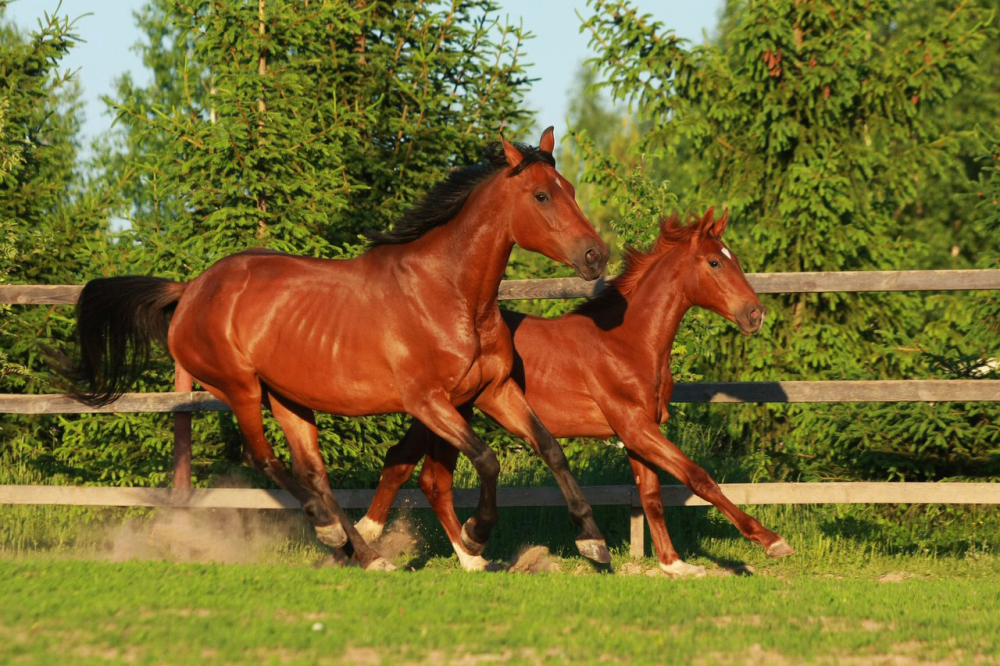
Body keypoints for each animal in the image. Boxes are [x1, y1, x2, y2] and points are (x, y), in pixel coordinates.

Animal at [70, 131, 608, 572]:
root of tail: (191, 289)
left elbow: (550, 448)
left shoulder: (492, 392)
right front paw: (476, 538)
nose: (595, 255)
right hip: (240, 388)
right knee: (265, 458)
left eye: (570, 188)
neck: (449, 293)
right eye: (541, 195)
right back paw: (335, 535)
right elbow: (487, 459)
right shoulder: (428, 402)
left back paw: (366, 554)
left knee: (313, 472)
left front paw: (593, 542)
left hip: (287, 397)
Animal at [356, 208, 792, 572]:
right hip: (449, 413)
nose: (755, 314)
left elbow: (651, 495)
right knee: (428, 477)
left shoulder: (637, 433)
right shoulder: (634, 426)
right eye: (715, 262)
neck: (627, 343)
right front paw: (772, 542)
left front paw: (674, 565)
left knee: (411, 470)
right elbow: (698, 477)